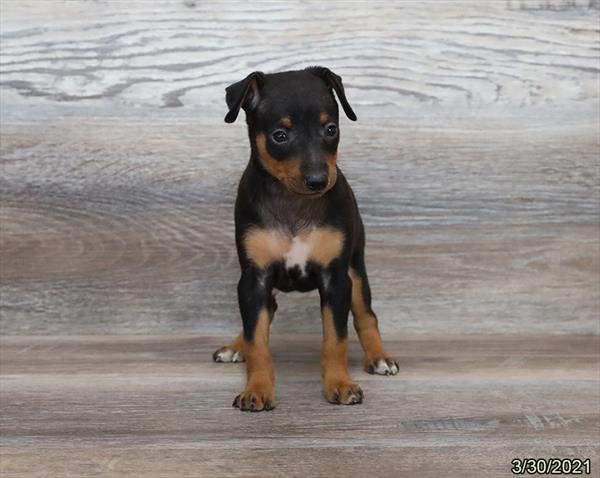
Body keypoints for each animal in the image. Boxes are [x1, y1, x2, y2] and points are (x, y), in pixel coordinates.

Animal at [212, 66, 398, 410]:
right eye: (279, 136)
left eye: (331, 129)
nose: (319, 180)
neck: (293, 203)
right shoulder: (254, 279)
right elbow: (257, 341)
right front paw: (256, 389)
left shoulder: (336, 280)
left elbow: (336, 339)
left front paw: (340, 384)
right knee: (265, 311)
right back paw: (235, 346)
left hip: (356, 269)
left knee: (366, 315)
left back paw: (379, 358)